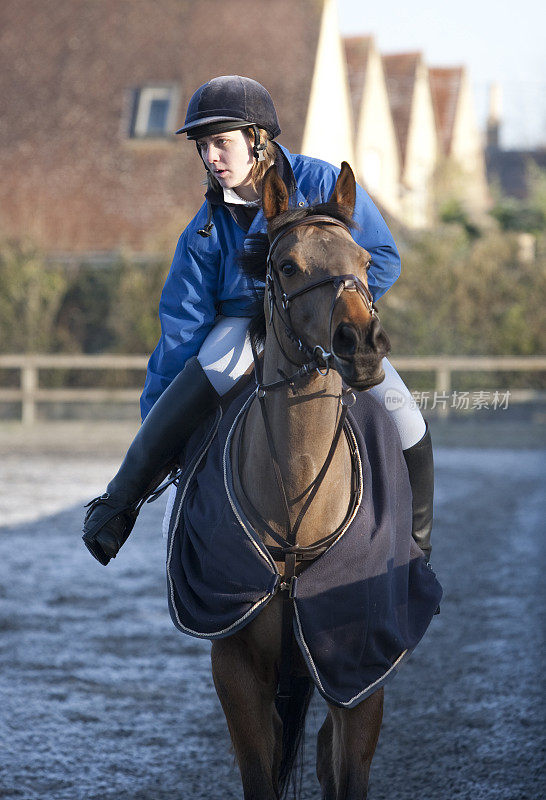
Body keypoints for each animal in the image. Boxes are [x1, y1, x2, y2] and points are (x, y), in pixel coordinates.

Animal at [208, 159, 392, 796]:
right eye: (288, 266)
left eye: (364, 261)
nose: (361, 345)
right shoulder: (237, 668)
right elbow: (260, 773)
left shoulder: (356, 670)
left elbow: (348, 771)